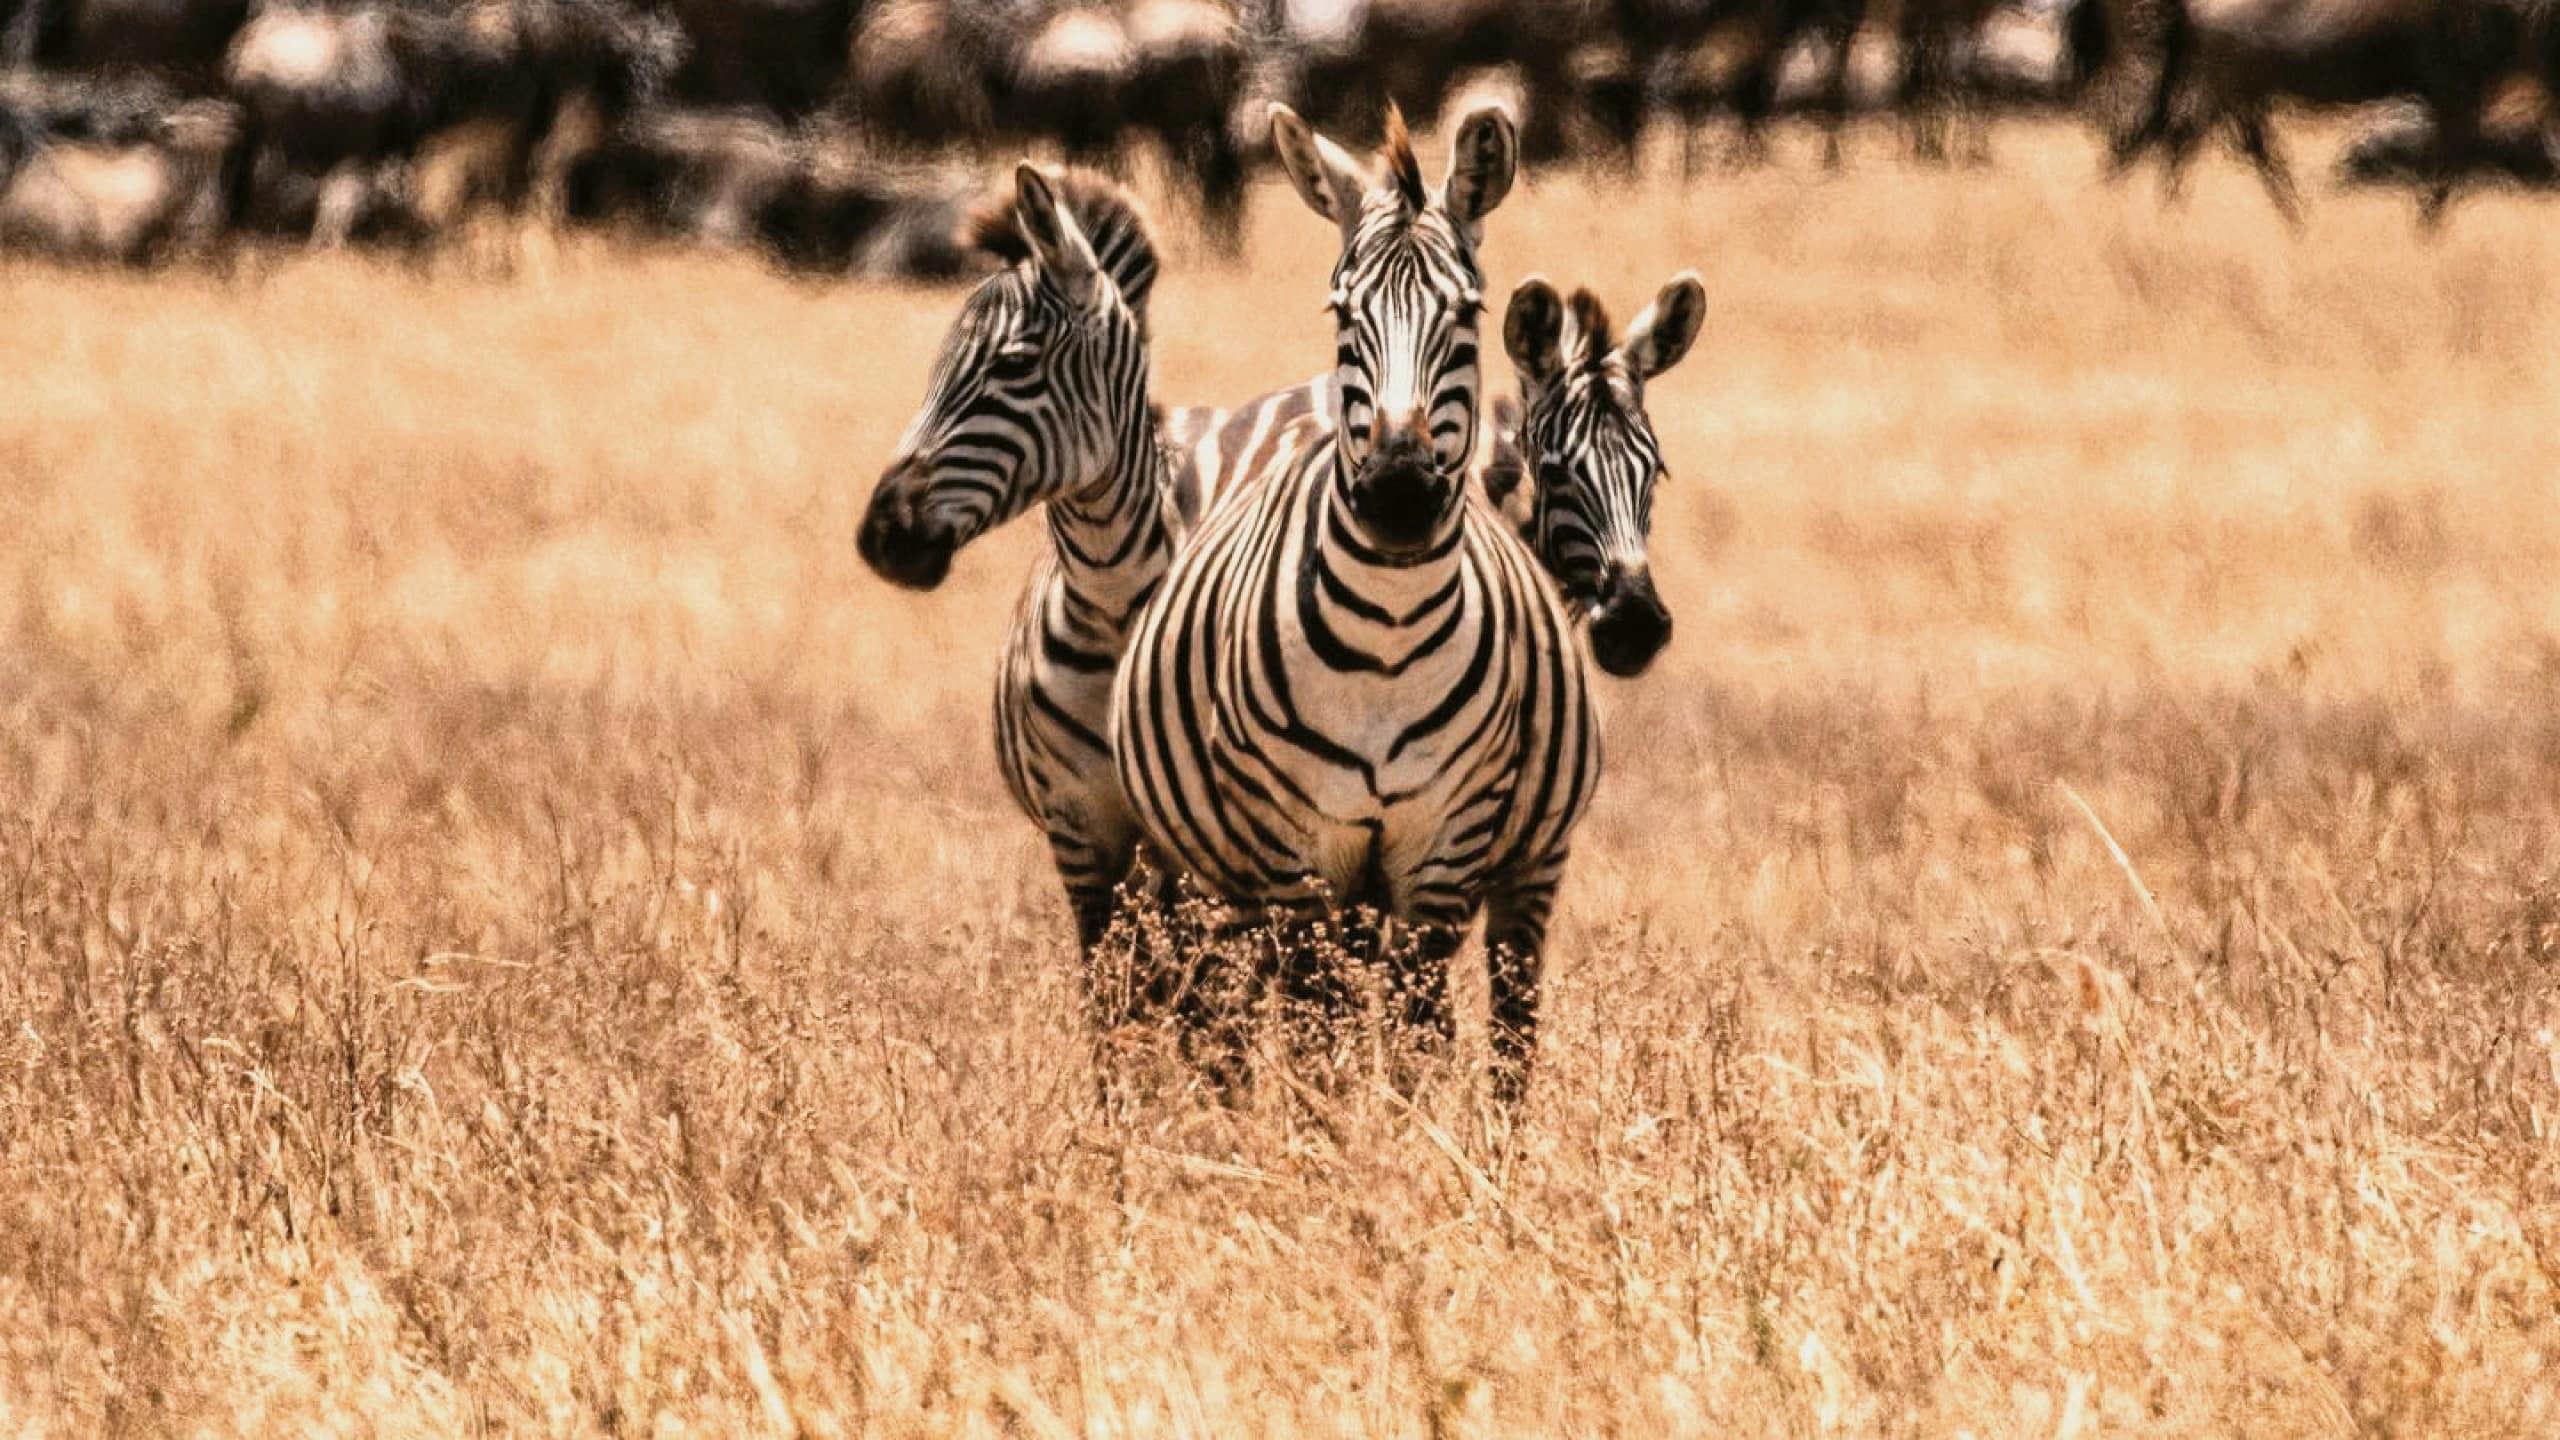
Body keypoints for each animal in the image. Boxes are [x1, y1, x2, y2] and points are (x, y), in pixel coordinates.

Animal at [1108, 101, 1601, 1100]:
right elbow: (1316, 1038)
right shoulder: (1299, 858)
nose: (1399, 493)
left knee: (1505, 1019)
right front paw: (1331, 1137)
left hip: (1512, 871)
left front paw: (1409, 1137)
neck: (1388, 632)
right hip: (1214, 872)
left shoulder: (1440, 854)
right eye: (1342, 313)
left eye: (1468, 313)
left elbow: (1418, 1038)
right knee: (1226, 1014)